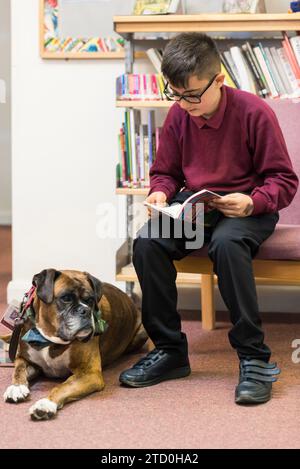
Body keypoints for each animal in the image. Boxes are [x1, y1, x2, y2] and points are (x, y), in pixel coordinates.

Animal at [2, 268, 148, 418]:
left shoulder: (89, 374)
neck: (50, 339)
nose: (86, 310)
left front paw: (46, 404)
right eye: (66, 298)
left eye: (90, 300)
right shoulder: (25, 359)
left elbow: (63, 386)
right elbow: (19, 370)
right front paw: (17, 387)